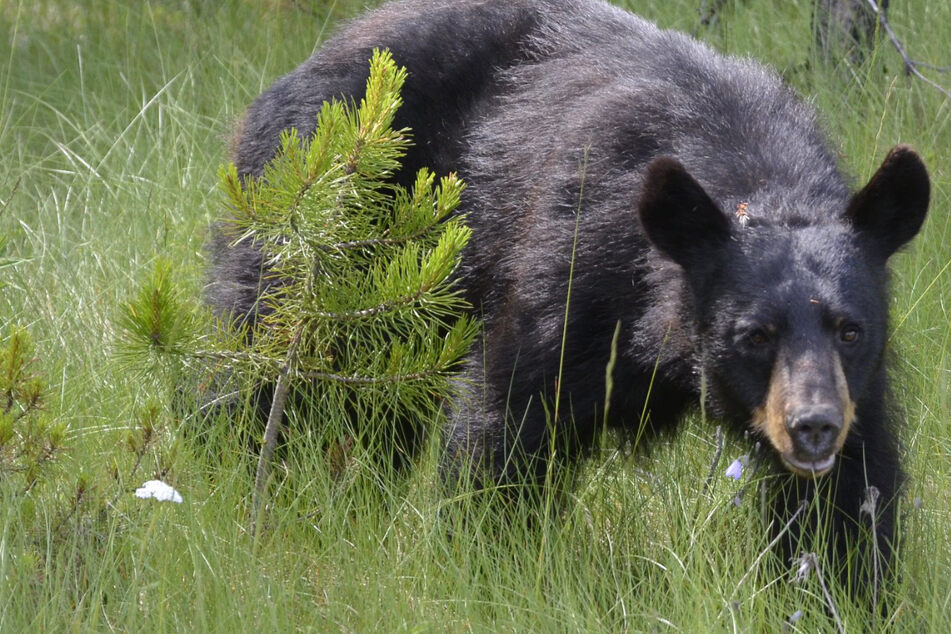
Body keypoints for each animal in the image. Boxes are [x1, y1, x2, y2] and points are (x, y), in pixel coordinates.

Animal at [206, 0, 930, 597]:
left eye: (850, 329)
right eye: (753, 334)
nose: (813, 426)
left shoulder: (855, 384)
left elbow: (849, 493)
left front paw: (839, 588)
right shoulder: (575, 264)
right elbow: (509, 419)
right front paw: (489, 566)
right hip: (319, 223)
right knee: (257, 367)